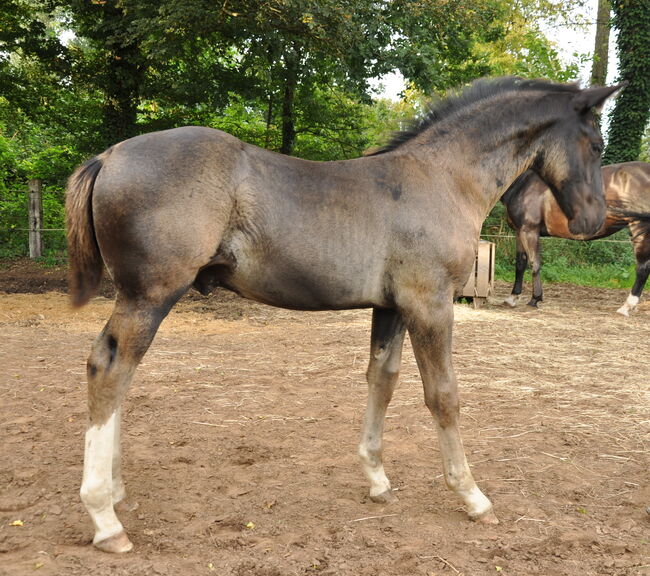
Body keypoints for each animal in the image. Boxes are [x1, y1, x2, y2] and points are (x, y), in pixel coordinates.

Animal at [66, 77, 616, 552]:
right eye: (596, 144)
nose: (590, 221)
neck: (443, 179)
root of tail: (109, 155)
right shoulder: (430, 304)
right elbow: (444, 396)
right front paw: (473, 496)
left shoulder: (392, 307)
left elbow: (382, 379)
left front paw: (377, 480)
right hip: (150, 295)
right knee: (108, 368)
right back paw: (105, 518)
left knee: (119, 373)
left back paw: (115, 491)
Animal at [502, 162, 648, 316]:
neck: (524, 183)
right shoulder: (519, 231)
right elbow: (520, 263)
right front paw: (512, 297)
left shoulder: (529, 230)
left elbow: (534, 264)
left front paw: (535, 299)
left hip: (640, 226)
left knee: (642, 268)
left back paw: (626, 306)